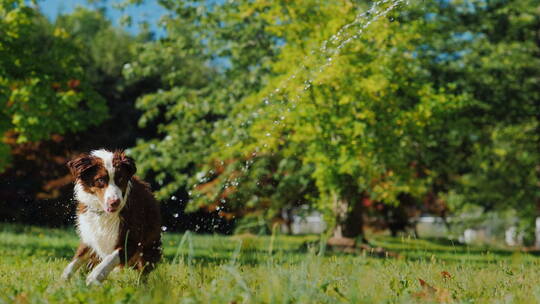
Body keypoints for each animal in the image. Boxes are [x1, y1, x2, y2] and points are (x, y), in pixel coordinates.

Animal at [62, 150, 161, 284]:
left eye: (121, 178)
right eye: (100, 180)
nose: (115, 202)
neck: (104, 213)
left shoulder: (132, 238)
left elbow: (111, 258)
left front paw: (95, 277)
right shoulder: (90, 235)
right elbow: (75, 261)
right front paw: (59, 283)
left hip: (149, 247)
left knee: (143, 272)